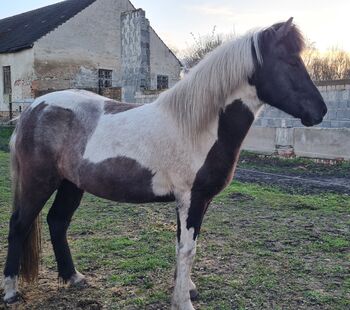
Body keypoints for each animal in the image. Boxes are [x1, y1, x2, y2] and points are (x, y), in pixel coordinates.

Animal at [3, 18, 326, 308]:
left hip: (71, 183)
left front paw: (188, 288)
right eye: (290, 62)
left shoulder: (194, 201)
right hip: (38, 181)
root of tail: (32, 109)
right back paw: (10, 291)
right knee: (19, 224)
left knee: (57, 222)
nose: (320, 111)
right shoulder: (191, 198)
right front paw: (183, 301)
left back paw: (74, 278)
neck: (196, 127)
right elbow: (187, 249)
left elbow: (182, 244)